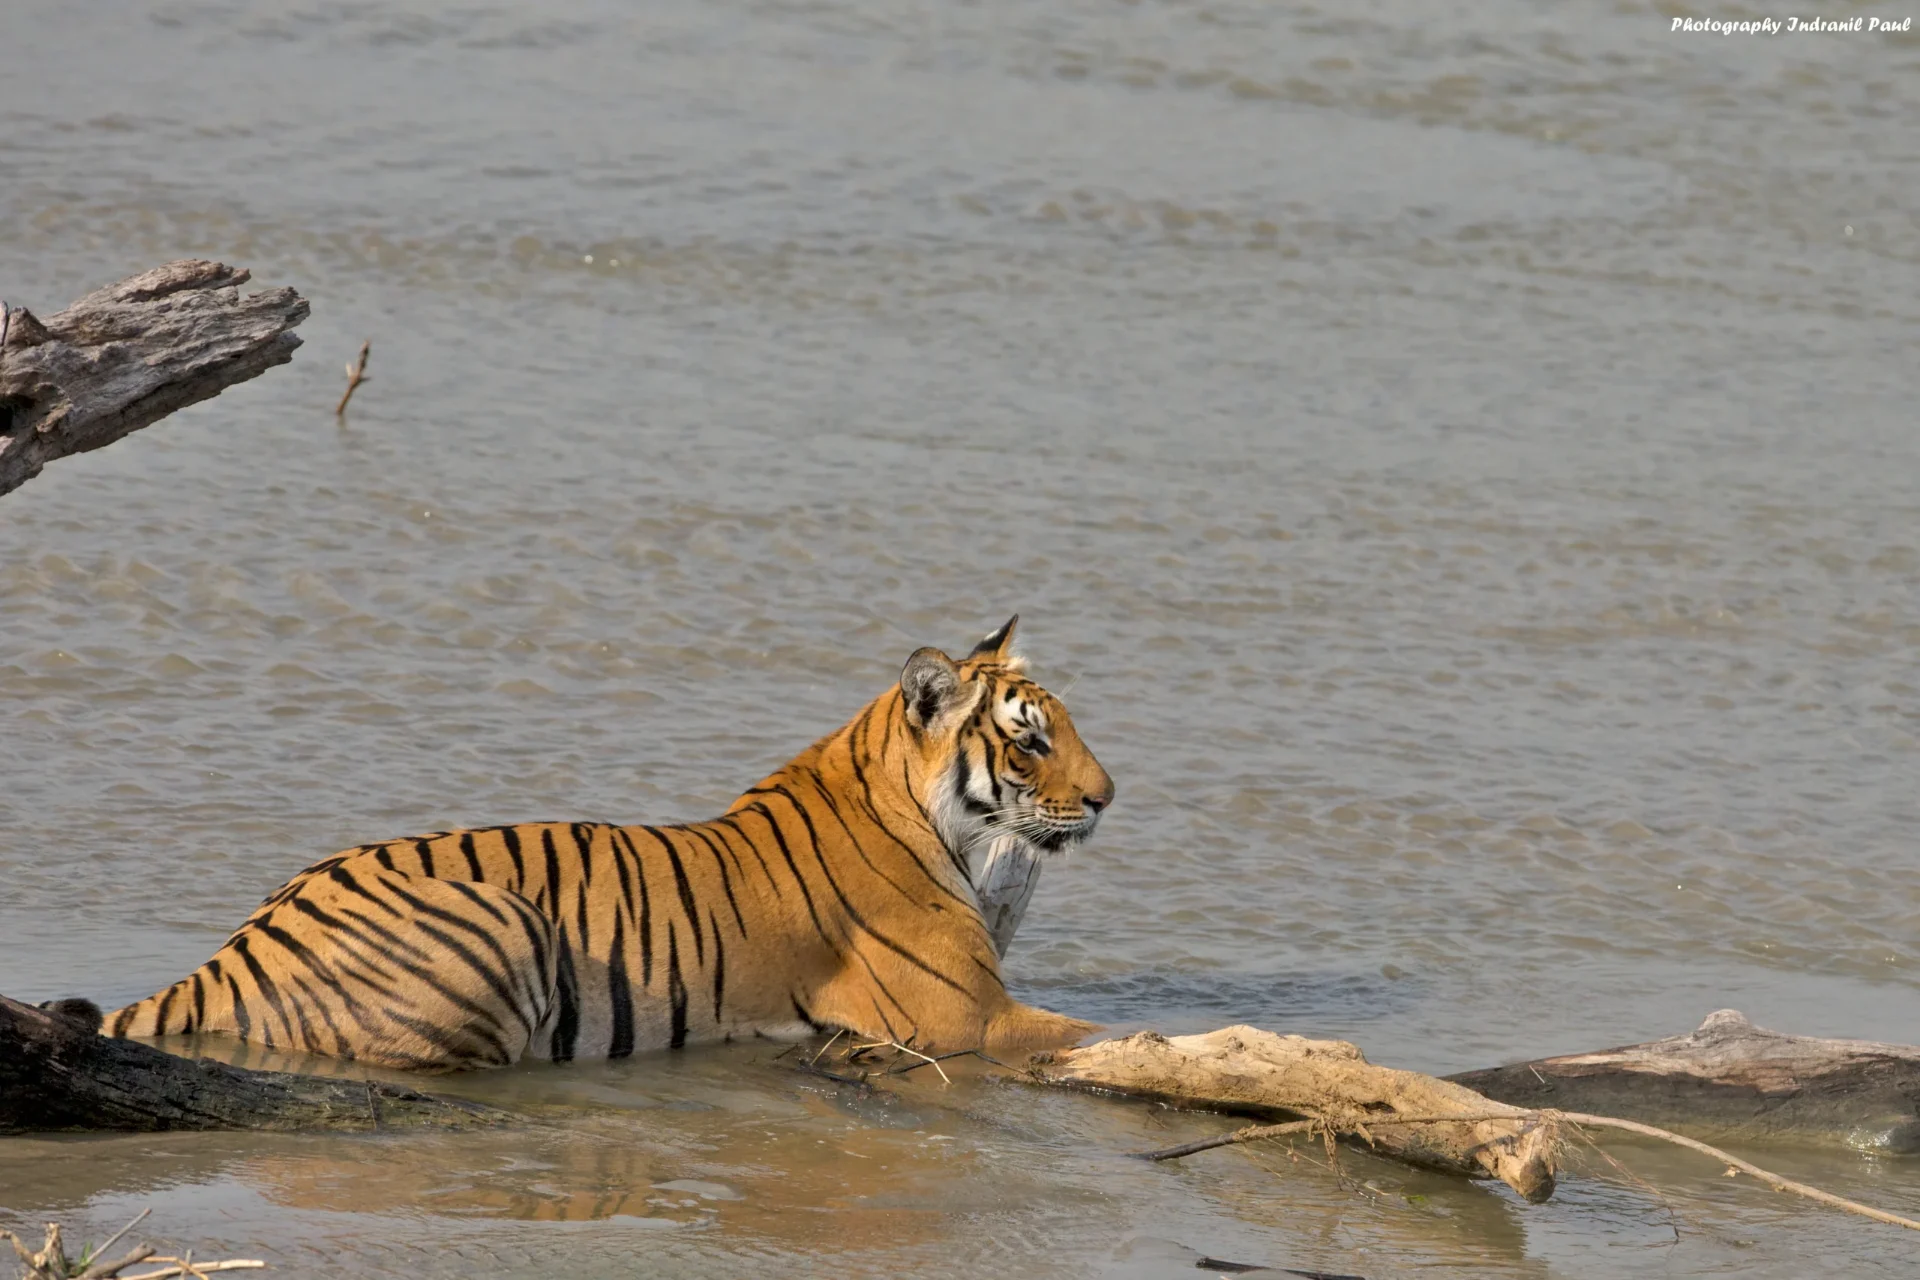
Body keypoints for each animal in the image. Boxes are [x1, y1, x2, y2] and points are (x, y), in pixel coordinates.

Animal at [95, 616, 1114, 1071]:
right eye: (1030, 741)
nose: (1109, 799)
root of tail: (231, 949)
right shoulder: (968, 1016)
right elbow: (1102, 1034)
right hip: (501, 925)